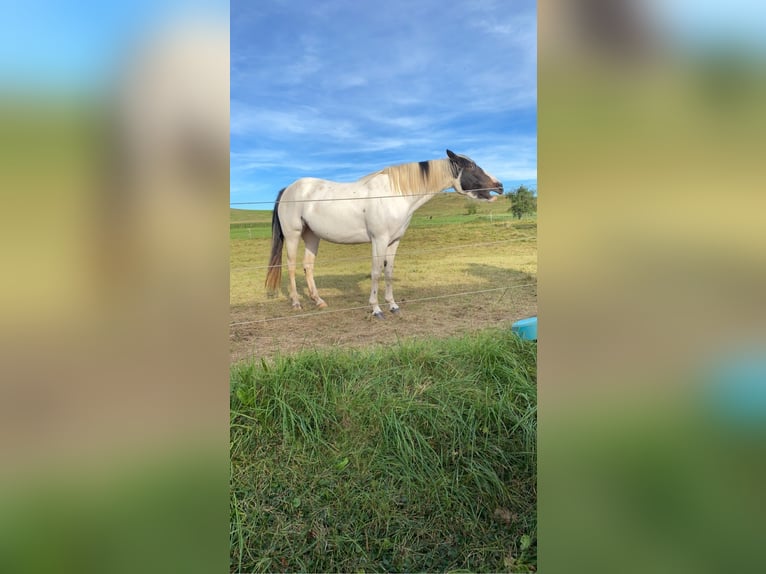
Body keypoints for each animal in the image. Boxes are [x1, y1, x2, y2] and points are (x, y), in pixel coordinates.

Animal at [268, 148, 508, 320]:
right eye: (472, 166)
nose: (500, 186)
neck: (395, 193)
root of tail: (288, 189)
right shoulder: (379, 240)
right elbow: (376, 272)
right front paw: (376, 309)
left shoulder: (394, 241)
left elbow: (389, 272)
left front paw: (393, 305)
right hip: (293, 235)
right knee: (291, 266)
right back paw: (296, 303)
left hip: (312, 236)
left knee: (308, 266)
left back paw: (318, 300)